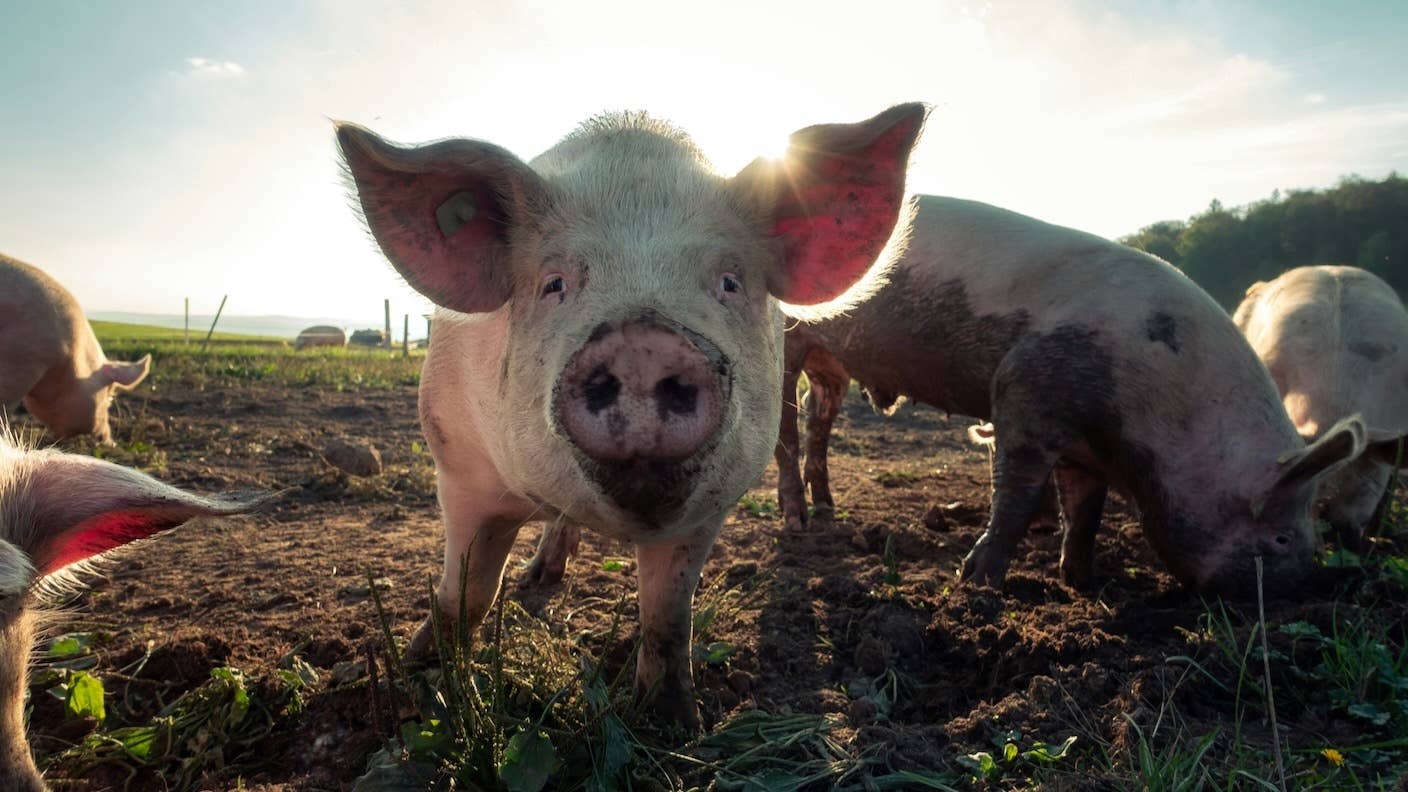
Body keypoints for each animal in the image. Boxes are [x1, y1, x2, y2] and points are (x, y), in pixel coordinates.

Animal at [337, 104, 927, 727]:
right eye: (553, 283)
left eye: (729, 282)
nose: (643, 342)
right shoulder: (458, 463)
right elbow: (467, 592)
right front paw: (420, 679)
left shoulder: (712, 504)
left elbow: (667, 615)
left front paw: (674, 724)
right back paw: (536, 581)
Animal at [771, 195, 1369, 594]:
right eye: (1281, 538)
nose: (1310, 589)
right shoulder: (1024, 394)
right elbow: (1015, 494)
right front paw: (976, 583)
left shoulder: (1088, 451)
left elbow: (1085, 512)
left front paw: (1085, 583)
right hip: (788, 342)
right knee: (784, 431)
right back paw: (797, 523)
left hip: (832, 365)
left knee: (817, 420)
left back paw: (828, 511)